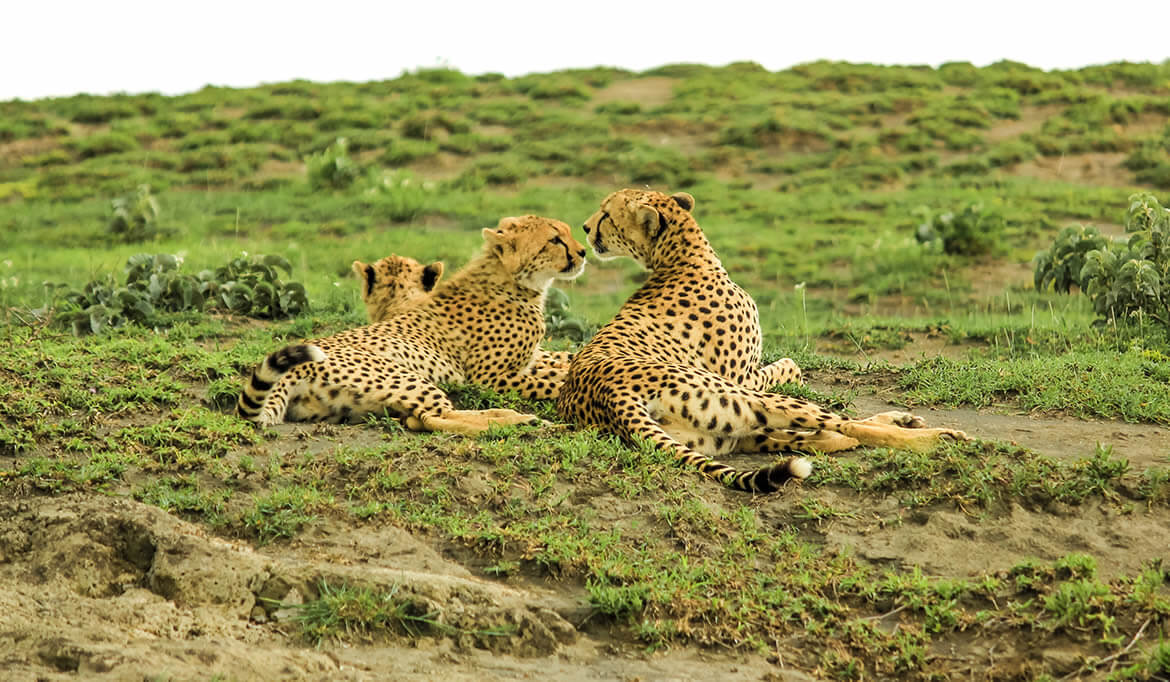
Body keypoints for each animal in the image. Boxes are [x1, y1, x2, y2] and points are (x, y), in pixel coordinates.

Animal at [235, 216, 585, 435]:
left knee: (418, 419)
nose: (582, 252)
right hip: (405, 378)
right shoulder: (491, 378)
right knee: (430, 418)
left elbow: (566, 360)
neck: (514, 281)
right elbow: (555, 382)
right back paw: (520, 421)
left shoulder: (532, 359)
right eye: (555, 239)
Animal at [556, 189, 968, 493]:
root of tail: (609, 396)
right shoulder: (744, 378)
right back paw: (936, 437)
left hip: (725, 431)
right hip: (742, 399)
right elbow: (790, 364)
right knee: (843, 426)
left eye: (606, 214)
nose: (585, 226)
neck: (683, 258)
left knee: (814, 434)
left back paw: (897, 423)